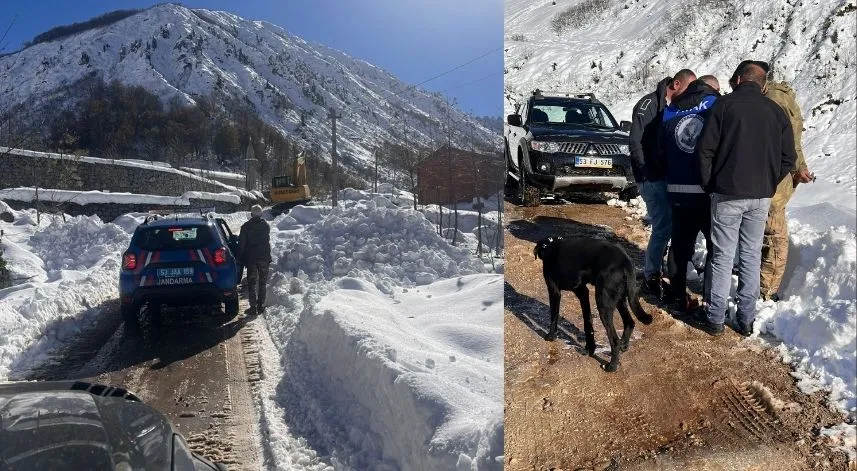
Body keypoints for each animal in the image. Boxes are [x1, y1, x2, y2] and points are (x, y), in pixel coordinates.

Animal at [532, 236, 652, 372]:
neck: (550, 245)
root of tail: (625, 261)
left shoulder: (554, 291)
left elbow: (554, 317)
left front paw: (551, 336)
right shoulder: (582, 292)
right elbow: (588, 321)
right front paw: (590, 348)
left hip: (603, 304)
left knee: (614, 340)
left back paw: (611, 366)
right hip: (619, 300)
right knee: (630, 322)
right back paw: (624, 345)